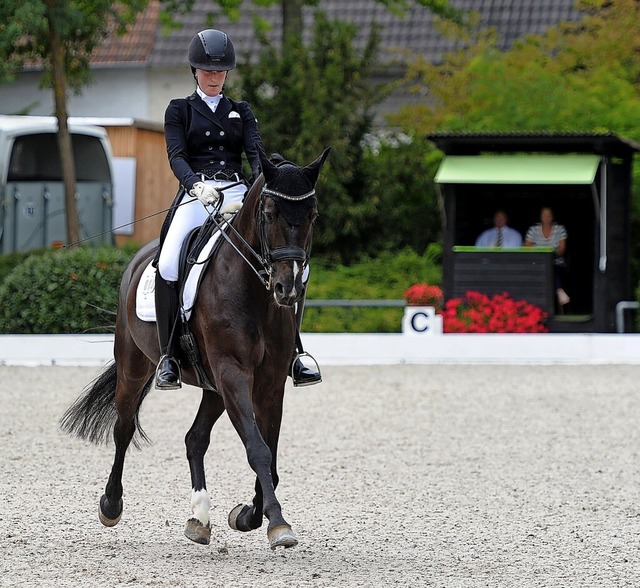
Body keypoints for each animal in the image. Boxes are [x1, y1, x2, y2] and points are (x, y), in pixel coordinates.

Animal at [61, 147, 330, 552]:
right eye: (269, 214)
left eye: (311, 216)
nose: (288, 289)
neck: (252, 289)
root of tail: (139, 257)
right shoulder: (233, 373)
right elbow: (258, 449)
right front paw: (277, 524)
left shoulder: (268, 384)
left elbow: (270, 455)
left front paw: (249, 516)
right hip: (136, 366)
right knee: (124, 428)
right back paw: (111, 505)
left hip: (213, 386)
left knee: (195, 438)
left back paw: (200, 518)